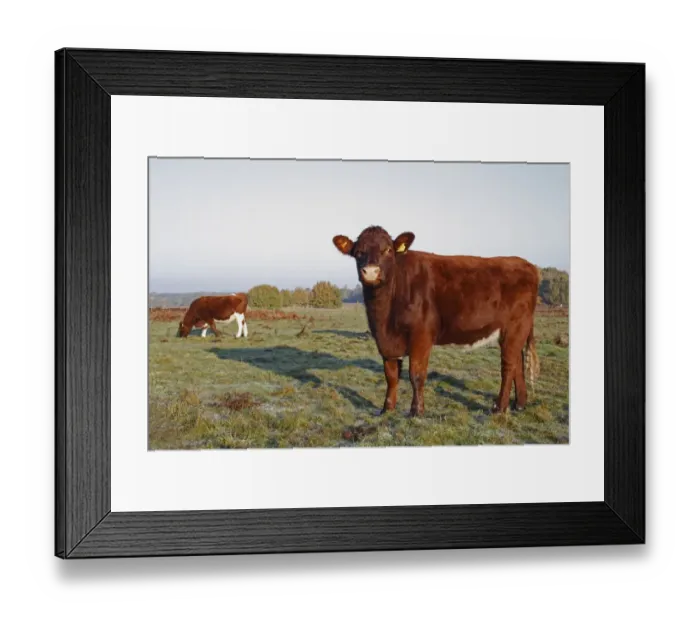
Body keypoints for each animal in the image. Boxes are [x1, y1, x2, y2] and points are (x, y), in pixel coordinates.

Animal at [332, 226, 540, 417]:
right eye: (358, 252)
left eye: (388, 250)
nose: (371, 272)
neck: (384, 317)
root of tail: (526, 264)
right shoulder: (386, 342)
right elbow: (391, 376)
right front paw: (387, 409)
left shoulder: (421, 335)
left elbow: (416, 374)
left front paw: (416, 411)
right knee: (518, 364)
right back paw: (519, 404)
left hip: (514, 328)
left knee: (508, 366)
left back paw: (499, 408)